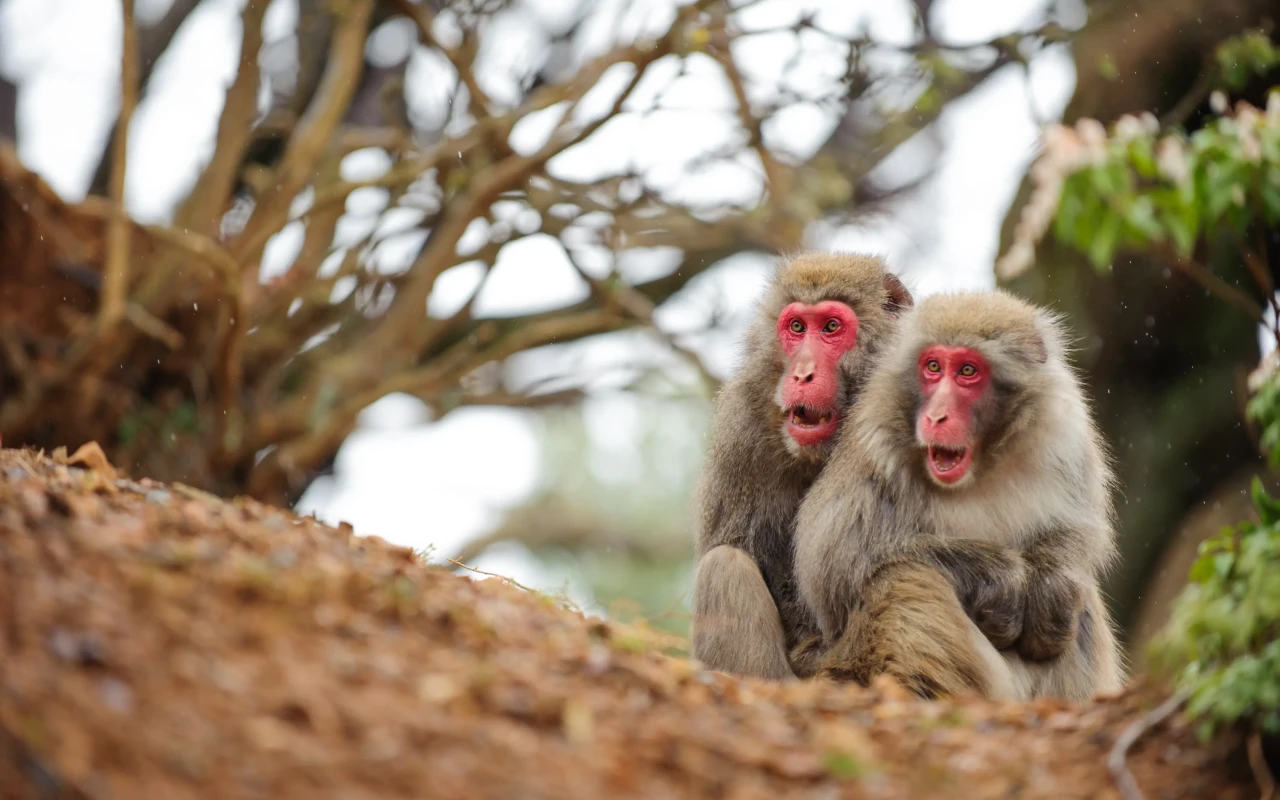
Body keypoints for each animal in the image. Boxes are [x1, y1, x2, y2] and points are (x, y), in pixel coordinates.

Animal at [792, 289, 1124, 702]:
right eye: (933, 366)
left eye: (967, 371)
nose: (936, 416)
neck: (982, 468)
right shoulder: (874, 445)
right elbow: (833, 567)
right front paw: (1001, 576)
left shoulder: (1066, 436)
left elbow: (1077, 529)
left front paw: (1051, 587)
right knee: (903, 578)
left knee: (1082, 608)